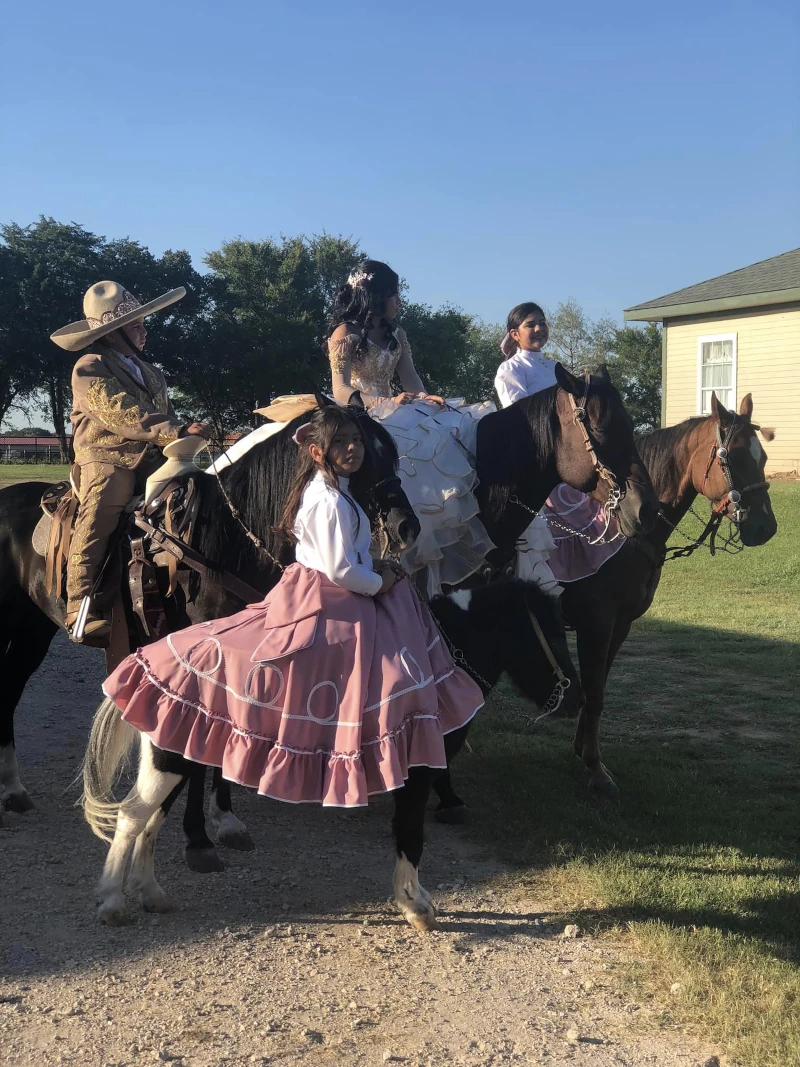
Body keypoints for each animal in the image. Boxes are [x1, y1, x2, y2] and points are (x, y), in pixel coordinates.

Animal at [83, 576, 584, 934]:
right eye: (549, 632)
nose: (575, 700)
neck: (440, 655)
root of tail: (147, 655)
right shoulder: (417, 772)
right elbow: (411, 834)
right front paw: (416, 906)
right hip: (170, 761)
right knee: (132, 817)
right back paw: (112, 903)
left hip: (176, 755)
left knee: (150, 819)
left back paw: (152, 894)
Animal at [435, 392, 780, 815]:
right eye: (734, 456)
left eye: (762, 456)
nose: (766, 528)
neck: (622, 532)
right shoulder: (596, 625)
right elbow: (595, 693)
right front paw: (595, 769)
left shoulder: (620, 627)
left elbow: (598, 692)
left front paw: (584, 751)